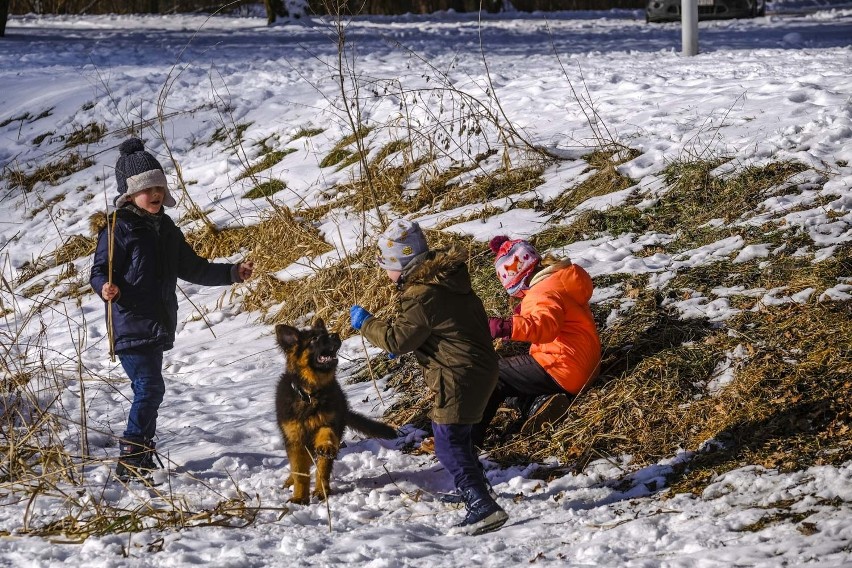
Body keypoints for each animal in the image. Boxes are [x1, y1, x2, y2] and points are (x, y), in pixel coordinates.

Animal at [274, 318, 398, 504]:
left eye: (325, 334)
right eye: (314, 339)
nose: (335, 335)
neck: (311, 394)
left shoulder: (330, 422)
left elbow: (324, 452)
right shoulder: (295, 441)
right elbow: (300, 473)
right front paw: (299, 497)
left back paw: (321, 489)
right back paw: (291, 481)